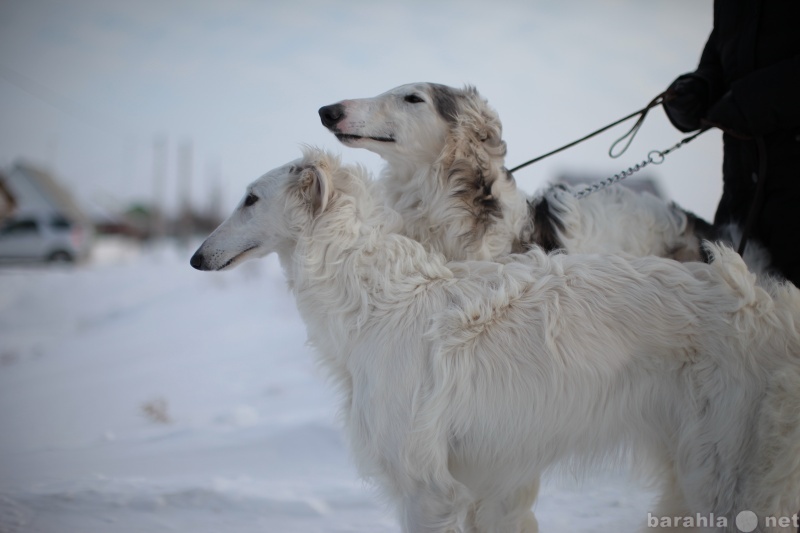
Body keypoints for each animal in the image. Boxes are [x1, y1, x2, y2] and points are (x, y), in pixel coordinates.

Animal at [192, 147, 800, 532]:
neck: (379, 299)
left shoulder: (428, 489)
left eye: (250, 198)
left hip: (725, 476)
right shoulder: (480, 485)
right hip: (688, 470)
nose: (197, 257)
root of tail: (767, 305)